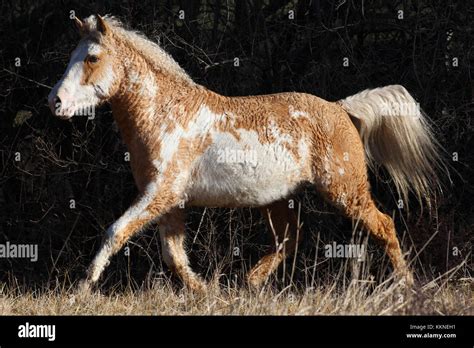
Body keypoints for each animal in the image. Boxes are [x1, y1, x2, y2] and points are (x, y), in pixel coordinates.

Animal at [48, 14, 444, 290]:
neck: (165, 113)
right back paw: (251, 281)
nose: (56, 101)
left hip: (346, 191)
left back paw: (406, 286)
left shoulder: (160, 193)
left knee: (384, 225)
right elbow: (174, 256)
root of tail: (340, 108)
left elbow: (116, 232)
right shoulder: (169, 201)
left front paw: (83, 287)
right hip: (279, 199)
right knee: (289, 239)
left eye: (92, 57)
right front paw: (205, 292)